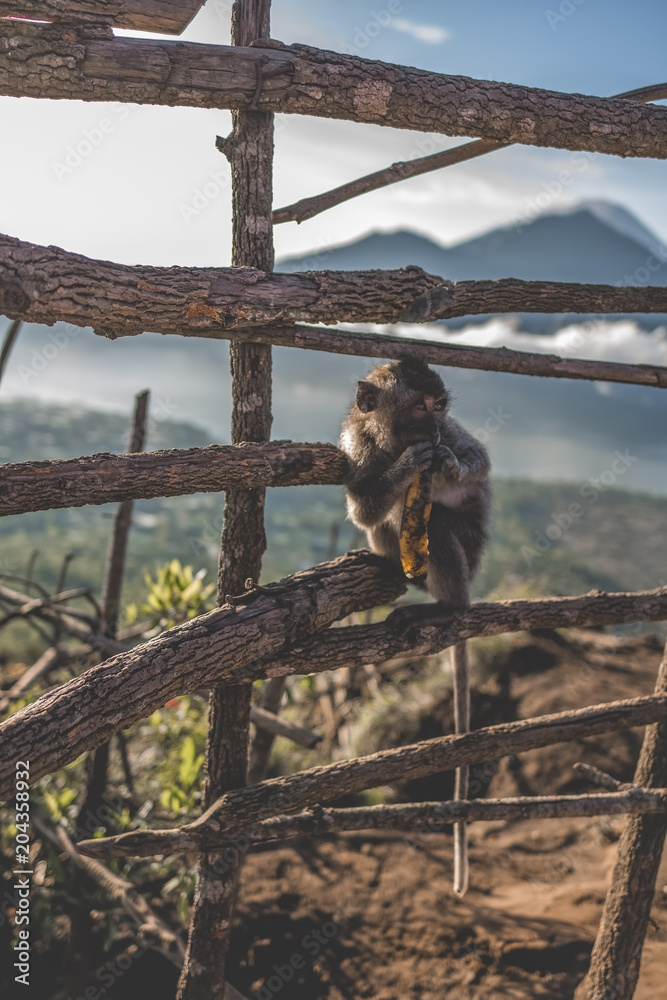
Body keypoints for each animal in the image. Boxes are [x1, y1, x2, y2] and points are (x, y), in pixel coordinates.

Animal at [342, 356, 494, 896]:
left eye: (439, 407)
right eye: (417, 407)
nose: (431, 429)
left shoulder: (454, 430)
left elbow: (479, 458)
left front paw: (447, 461)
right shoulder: (355, 448)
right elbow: (363, 505)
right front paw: (411, 463)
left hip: (470, 547)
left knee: (441, 524)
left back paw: (448, 608)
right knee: (387, 520)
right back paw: (390, 564)